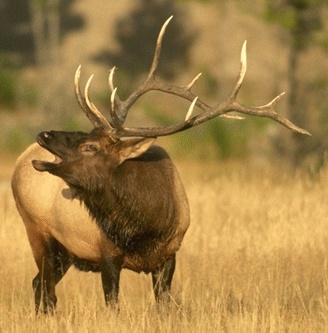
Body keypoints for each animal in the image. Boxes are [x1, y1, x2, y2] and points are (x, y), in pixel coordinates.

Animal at [11, 16, 308, 312]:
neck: (143, 226)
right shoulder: (107, 253)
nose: (44, 134)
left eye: (90, 146)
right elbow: (113, 304)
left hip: (64, 252)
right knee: (45, 289)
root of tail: (18, 164)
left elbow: (163, 305)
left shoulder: (170, 254)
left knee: (39, 284)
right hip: (38, 232)